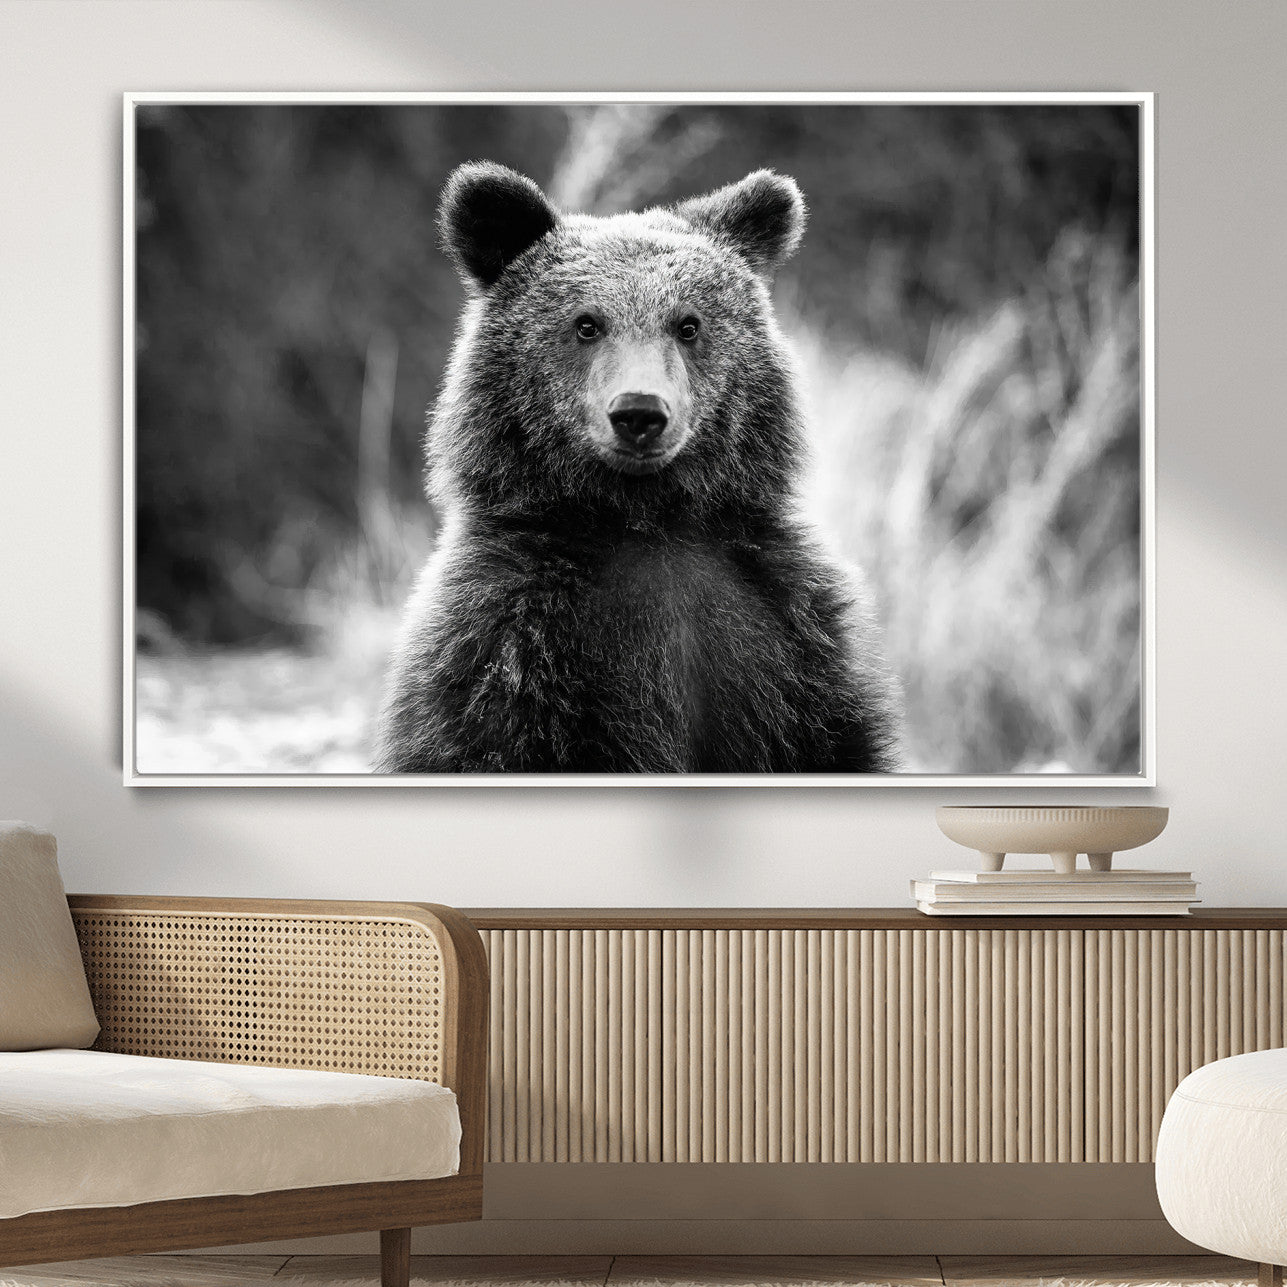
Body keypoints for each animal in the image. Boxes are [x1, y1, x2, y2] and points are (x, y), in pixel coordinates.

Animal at [374, 161, 902, 774]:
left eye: (688, 324)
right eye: (586, 324)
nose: (639, 413)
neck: (646, 520)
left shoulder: (789, 636)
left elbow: (835, 739)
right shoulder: (506, 645)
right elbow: (481, 740)